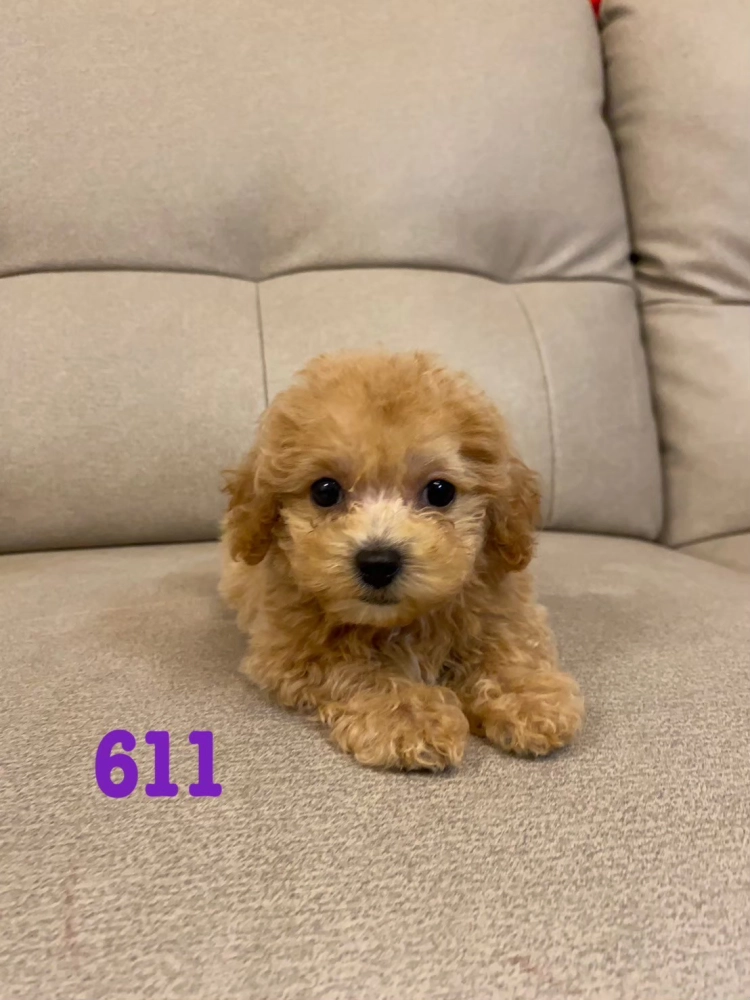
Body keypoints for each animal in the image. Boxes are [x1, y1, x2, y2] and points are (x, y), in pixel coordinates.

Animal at [220, 350, 583, 770]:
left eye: (440, 491)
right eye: (325, 491)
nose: (378, 562)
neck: (400, 622)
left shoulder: (504, 605)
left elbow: (508, 645)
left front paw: (529, 698)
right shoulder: (290, 649)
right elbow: (355, 668)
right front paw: (410, 716)